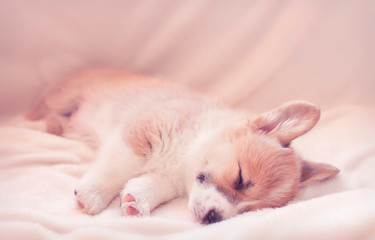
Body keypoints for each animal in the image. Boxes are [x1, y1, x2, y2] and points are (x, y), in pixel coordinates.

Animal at [25, 68, 340, 224]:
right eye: (240, 178)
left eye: (248, 211)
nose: (214, 218)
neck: (187, 151)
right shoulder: (140, 135)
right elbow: (117, 167)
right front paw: (93, 195)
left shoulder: (168, 178)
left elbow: (151, 185)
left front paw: (136, 200)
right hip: (63, 97)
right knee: (39, 111)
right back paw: (25, 126)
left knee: (56, 123)